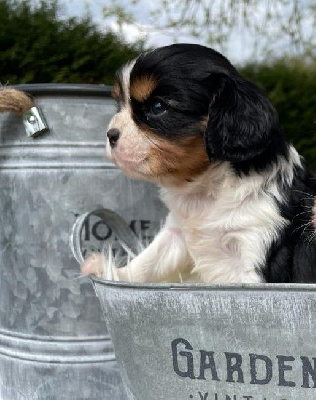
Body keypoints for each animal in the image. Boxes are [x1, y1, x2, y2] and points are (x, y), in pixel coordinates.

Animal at [82, 43, 316, 282]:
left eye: (157, 107)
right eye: (118, 106)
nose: (111, 135)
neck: (207, 187)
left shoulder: (255, 247)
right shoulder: (176, 233)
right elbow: (150, 259)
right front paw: (111, 271)